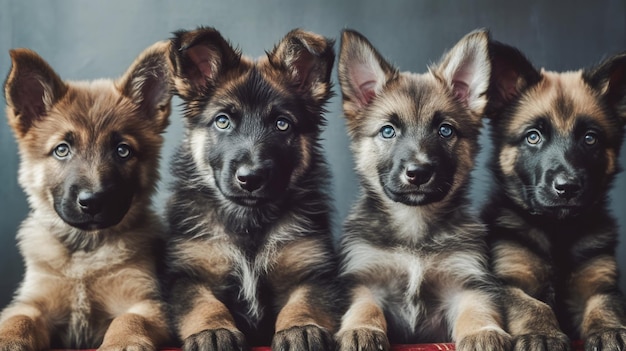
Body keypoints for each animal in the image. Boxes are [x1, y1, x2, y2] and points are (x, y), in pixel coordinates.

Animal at [0, 42, 172, 351]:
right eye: (62, 149)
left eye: (122, 150)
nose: (93, 202)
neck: (85, 253)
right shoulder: (32, 302)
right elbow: (18, 319)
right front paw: (8, 340)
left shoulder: (146, 302)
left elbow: (129, 320)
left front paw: (123, 343)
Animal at [163, 27, 338, 351]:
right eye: (222, 121)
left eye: (282, 124)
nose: (251, 178)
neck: (248, 220)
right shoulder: (187, 272)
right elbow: (203, 304)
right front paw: (213, 331)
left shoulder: (312, 269)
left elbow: (305, 301)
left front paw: (301, 328)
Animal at [334, 29, 510, 351]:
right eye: (388, 131)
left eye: (445, 130)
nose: (418, 173)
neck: (414, 224)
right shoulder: (365, 277)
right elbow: (364, 305)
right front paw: (361, 329)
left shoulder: (466, 280)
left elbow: (477, 308)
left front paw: (483, 332)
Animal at [486, 40, 624, 350]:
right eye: (533, 136)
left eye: (590, 138)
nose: (567, 188)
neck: (557, 229)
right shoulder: (506, 281)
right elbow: (532, 305)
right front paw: (542, 334)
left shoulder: (600, 281)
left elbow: (605, 303)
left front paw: (610, 329)